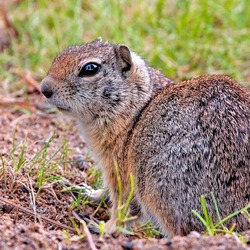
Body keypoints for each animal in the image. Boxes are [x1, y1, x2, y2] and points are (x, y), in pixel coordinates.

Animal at [40, 38, 249, 235]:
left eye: (90, 69)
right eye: (63, 52)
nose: (44, 88)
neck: (137, 107)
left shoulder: (120, 170)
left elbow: (123, 206)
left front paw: (104, 227)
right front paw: (86, 191)